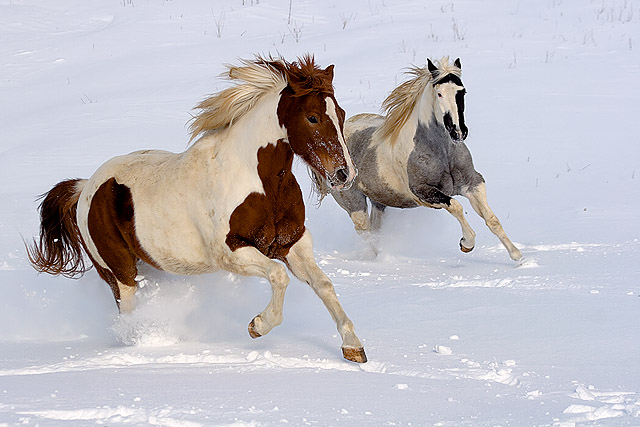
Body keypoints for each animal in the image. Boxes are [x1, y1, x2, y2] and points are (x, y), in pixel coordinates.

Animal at [27, 55, 368, 364]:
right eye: (312, 117)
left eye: (341, 113)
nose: (345, 174)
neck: (258, 181)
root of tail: (84, 187)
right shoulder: (231, 252)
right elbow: (278, 275)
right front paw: (257, 325)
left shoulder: (292, 243)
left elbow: (323, 284)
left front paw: (353, 347)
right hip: (119, 272)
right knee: (127, 310)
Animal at [312, 57, 524, 262]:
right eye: (439, 94)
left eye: (462, 91)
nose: (458, 132)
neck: (441, 152)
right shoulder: (423, 193)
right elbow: (456, 206)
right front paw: (466, 243)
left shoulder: (473, 182)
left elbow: (492, 219)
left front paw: (517, 256)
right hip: (353, 203)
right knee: (365, 233)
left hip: (379, 201)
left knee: (375, 229)